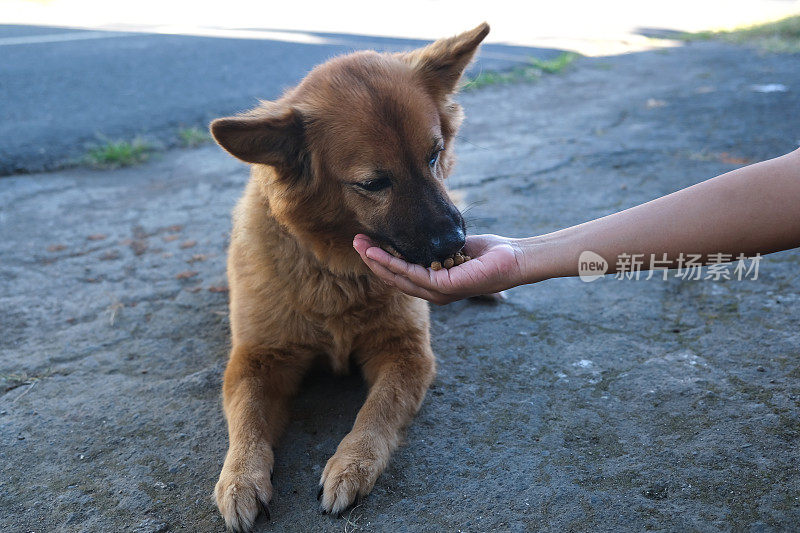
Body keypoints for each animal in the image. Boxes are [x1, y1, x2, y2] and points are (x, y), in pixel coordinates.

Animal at [209, 22, 490, 528]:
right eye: (373, 183)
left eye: (434, 155)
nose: (453, 244)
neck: (336, 270)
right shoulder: (256, 359)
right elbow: (247, 418)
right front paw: (239, 478)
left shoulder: (406, 352)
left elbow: (377, 411)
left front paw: (351, 466)